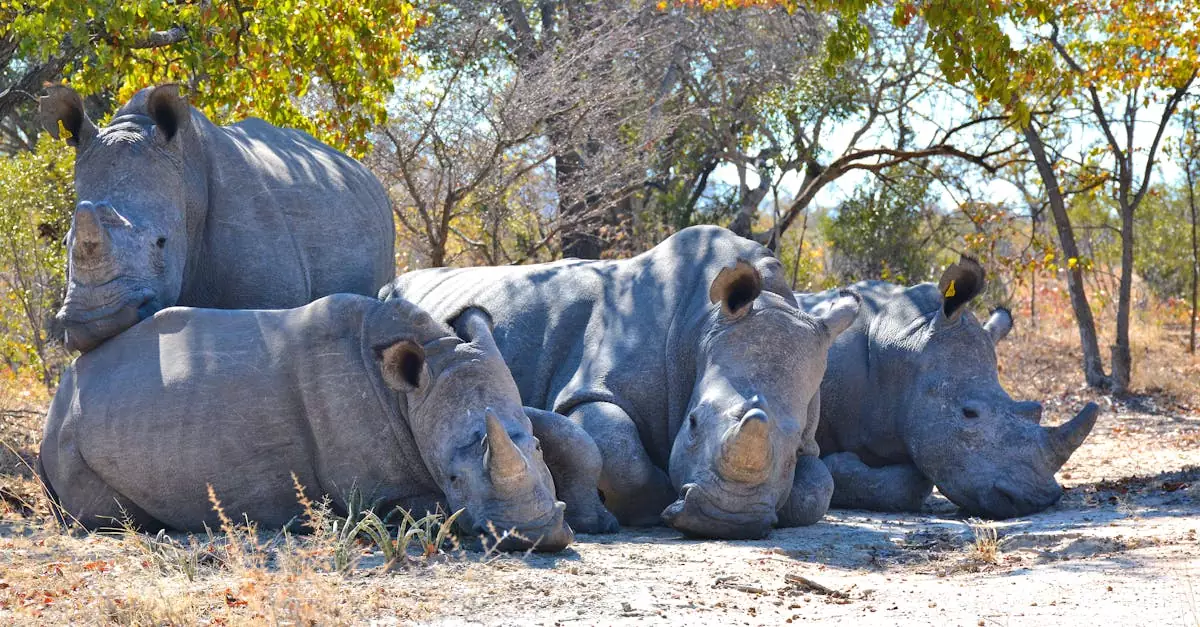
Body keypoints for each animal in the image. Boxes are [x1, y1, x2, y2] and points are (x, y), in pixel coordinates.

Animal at [38, 294, 587, 551]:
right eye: (453, 477)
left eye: (536, 450)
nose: (536, 535)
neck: (409, 396)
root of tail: (61, 392)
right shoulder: (376, 492)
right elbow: (429, 509)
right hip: (68, 438)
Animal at [382, 226, 860, 539]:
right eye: (693, 423)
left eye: (793, 447)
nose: (726, 521)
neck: (705, 325)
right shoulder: (591, 386)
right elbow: (619, 452)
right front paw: (648, 508)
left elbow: (819, 488)